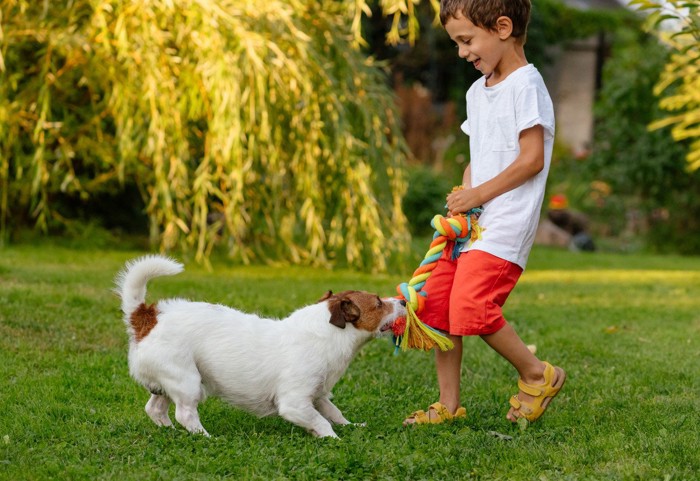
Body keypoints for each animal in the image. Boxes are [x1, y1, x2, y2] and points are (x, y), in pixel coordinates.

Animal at [115, 256, 408, 436]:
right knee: (186, 414)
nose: (404, 301)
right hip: (188, 381)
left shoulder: (318, 395)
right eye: (378, 302)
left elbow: (333, 413)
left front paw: (351, 426)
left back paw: (170, 432)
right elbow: (321, 421)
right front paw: (333, 438)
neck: (328, 334)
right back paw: (206, 437)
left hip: (166, 384)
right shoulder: (294, 403)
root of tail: (146, 316)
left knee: (155, 408)